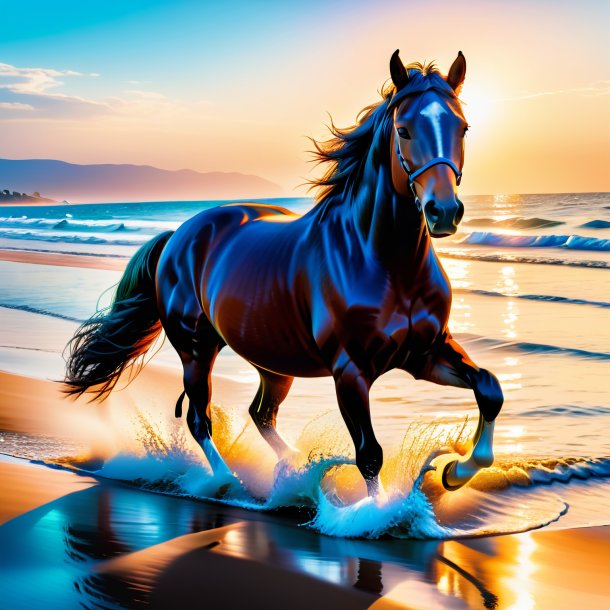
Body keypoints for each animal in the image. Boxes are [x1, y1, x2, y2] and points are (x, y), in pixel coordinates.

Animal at [65, 51, 504, 494]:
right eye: (404, 129)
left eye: (463, 128)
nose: (443, 211)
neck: (385, 265)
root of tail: (179, 235)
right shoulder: (351, 372)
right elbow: (370, 455)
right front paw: (382, 507)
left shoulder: (426, 353)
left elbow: (489, 388)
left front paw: (454, 471)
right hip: (196, 350)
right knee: (199, 417)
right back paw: (229, 482)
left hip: (272, 360)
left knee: (261, 413)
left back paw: (290, 468)